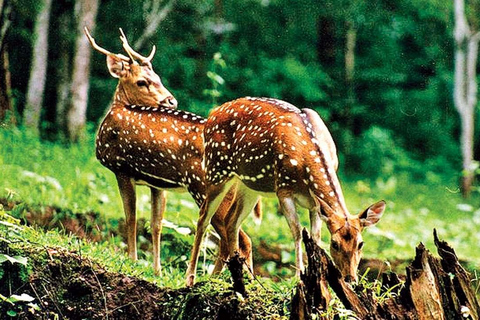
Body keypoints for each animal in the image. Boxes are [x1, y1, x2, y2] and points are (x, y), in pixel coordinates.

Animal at [86, 28, 258, 276]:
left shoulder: (121, 168)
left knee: (237, 239)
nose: (171, 101)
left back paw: (216, 279)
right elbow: (156, 224)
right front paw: (156, 270)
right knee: (235, 238)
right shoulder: (157, 183)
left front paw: (132, 260)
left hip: (205, 188)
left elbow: (131, 217)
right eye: (142, 81)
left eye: (157, 78)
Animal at [186, 95, 384, 284]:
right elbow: (297, 232)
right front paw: (298, 276)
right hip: (215, 170)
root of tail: (212, 113)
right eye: (335, 244)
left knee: (231, 221)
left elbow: (315, 237)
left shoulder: (315, 204)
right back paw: (191, 278)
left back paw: (243, 277)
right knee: (203, 217)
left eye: (361, 243)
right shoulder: (283, 190)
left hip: (248, 185)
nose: (350, 278)